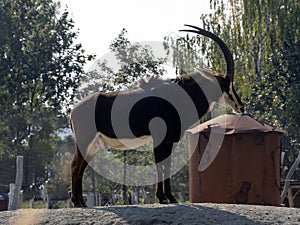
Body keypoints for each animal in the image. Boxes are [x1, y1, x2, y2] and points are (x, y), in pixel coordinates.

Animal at [70, 24, 244, 206]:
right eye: (225, 84)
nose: (240, 105)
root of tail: (73, 109)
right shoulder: (160, 137)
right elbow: (160, 166)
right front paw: (162, 197)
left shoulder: (168, 140)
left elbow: (167, 166)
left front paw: (170, 197)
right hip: (85, 140)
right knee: (75, 166)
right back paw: (77, 201)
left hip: (94, 144)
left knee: (81, 167)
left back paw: (80, 201)